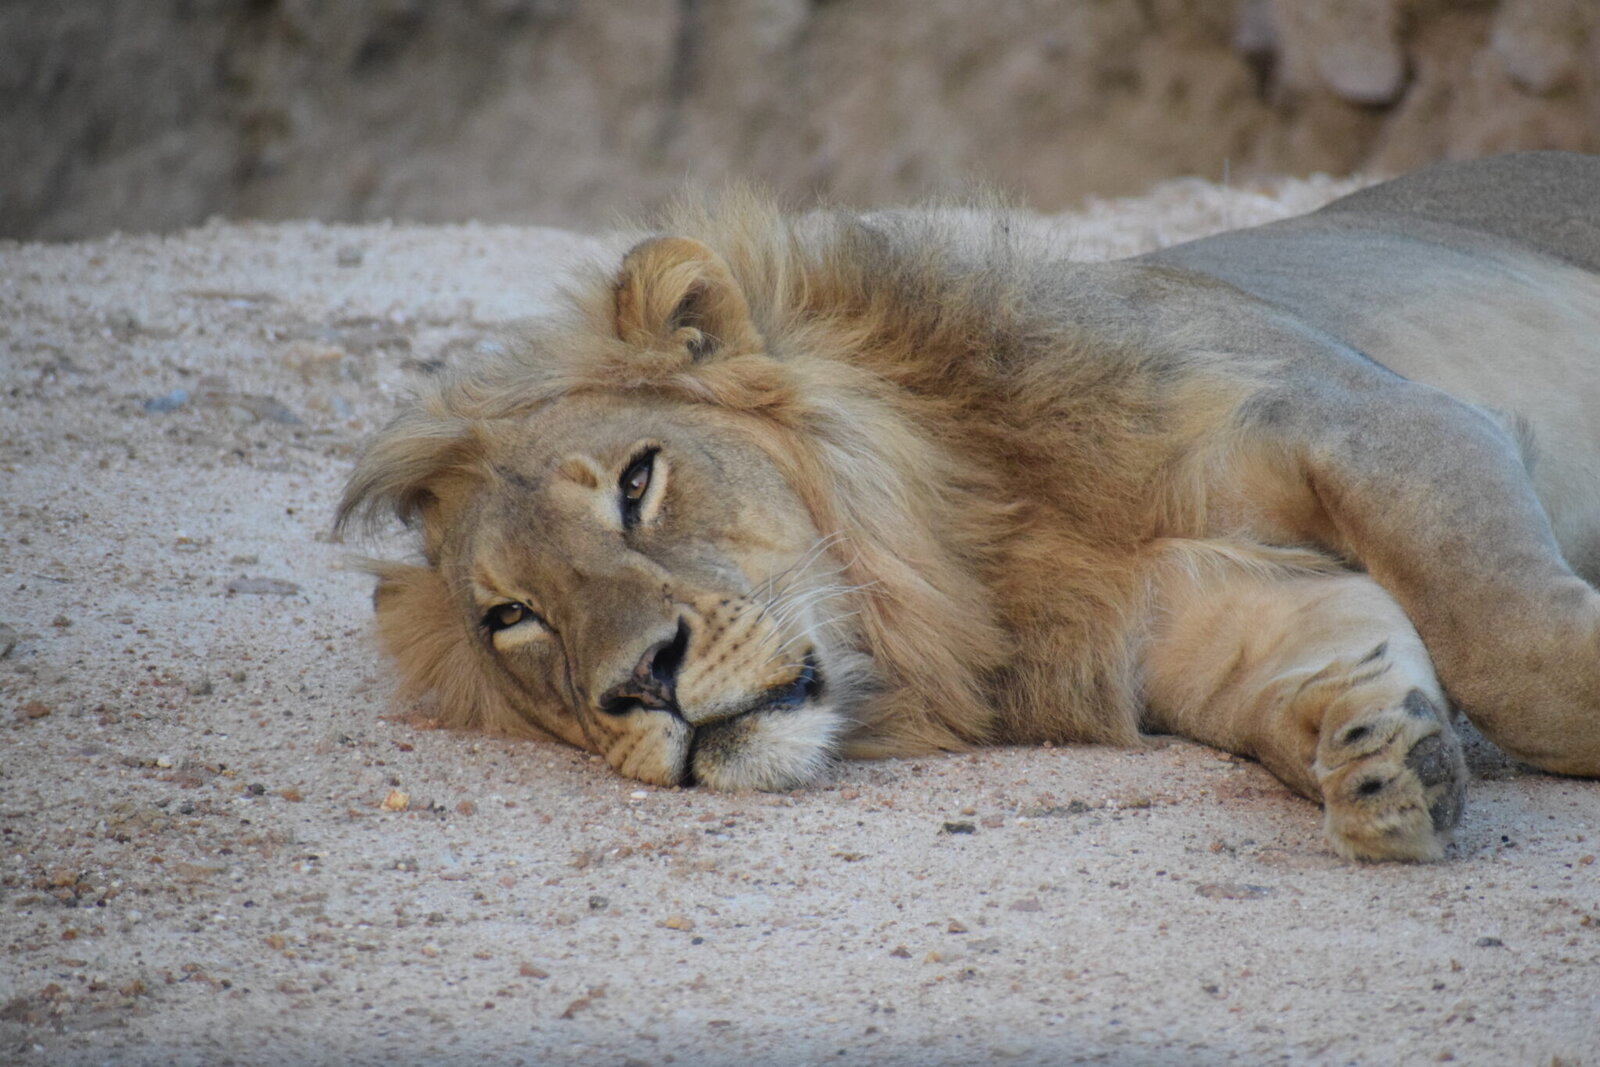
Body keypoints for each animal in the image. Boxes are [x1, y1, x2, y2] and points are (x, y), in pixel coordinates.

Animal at [338, 151, 1600, 862]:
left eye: (638, 483)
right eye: (513, 618)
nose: (641, 680)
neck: (975, 545)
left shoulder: (1375, 419)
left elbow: (1510, 646)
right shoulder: (1194, 611)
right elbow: (1335, 662)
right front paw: (1389, 762)